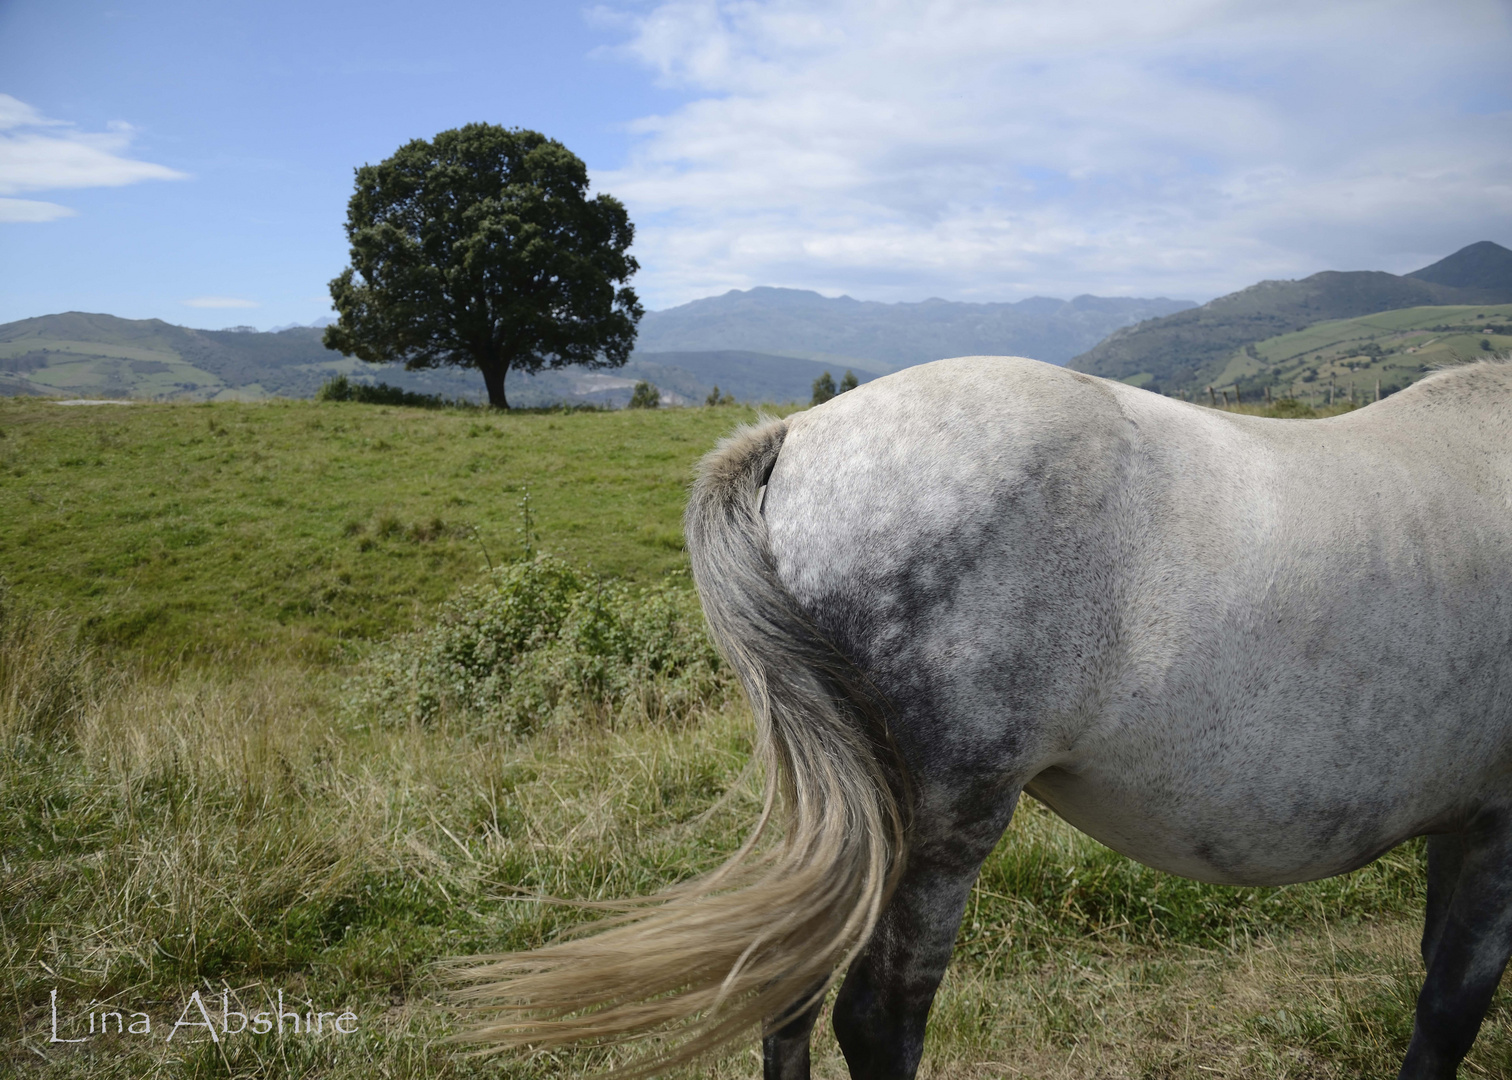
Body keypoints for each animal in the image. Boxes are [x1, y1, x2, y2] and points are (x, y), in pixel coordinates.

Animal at [456, 356, 1512, 1076]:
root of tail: (796, 437)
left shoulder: (1463, 830)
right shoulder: (1501, 835)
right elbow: (1450, 1005)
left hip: (848, 822)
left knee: (793, 986)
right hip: (947, 823)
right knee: (877, 1019)